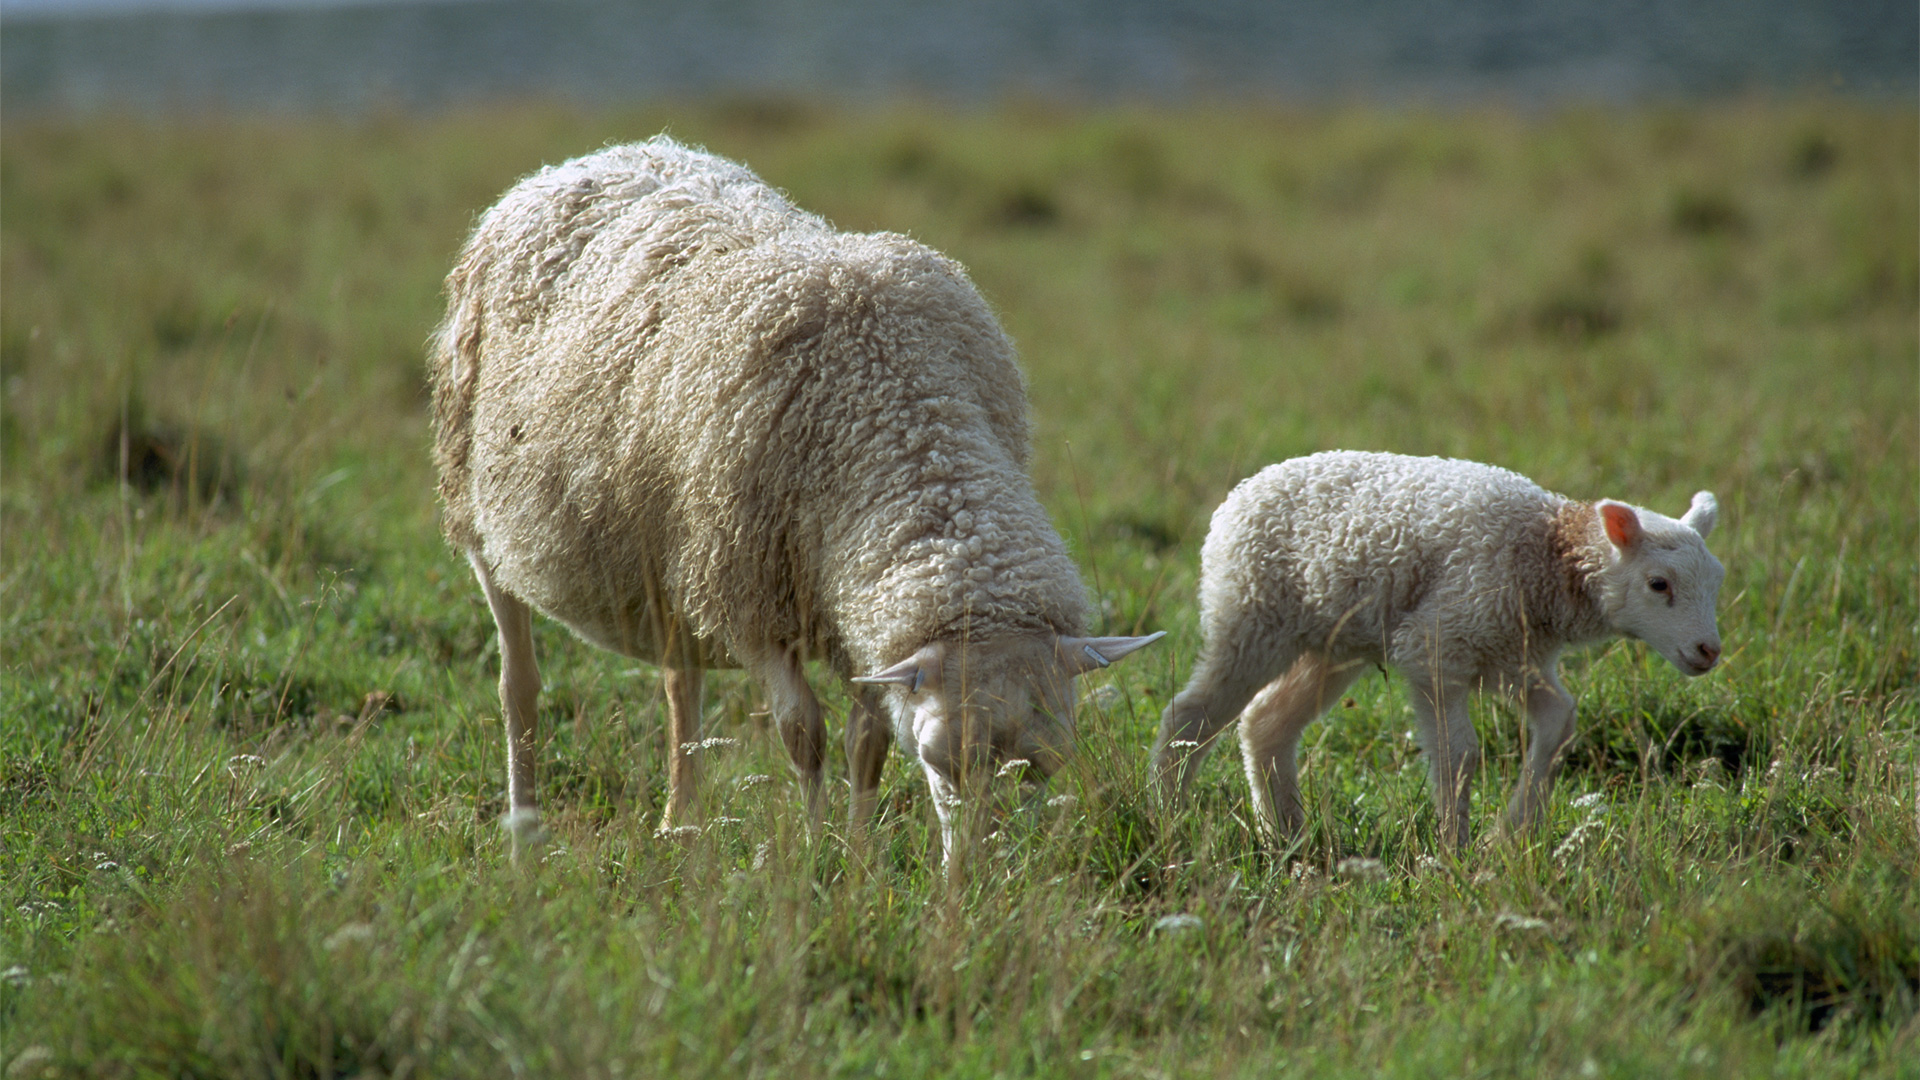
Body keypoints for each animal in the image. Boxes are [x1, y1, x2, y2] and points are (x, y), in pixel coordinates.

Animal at [433, 134, 1152, 860]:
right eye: (937, 759)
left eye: (1047, 763)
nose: (976, 873)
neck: (898, 410)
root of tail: (596, 157)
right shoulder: (750, 596)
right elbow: (803, 733)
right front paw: (813, 849)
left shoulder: (855, 607)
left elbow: (867, 741)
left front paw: (859, 855)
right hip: (478, 513)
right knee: (519, 685)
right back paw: (525, 830)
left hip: (669, 549)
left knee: (679, 681)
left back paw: (681, 821)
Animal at [1152, 449, 1728, 845]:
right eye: (1658, 584)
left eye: (1717, 581)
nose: (1708, 651)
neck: (1545, 556)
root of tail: (1240, 494)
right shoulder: (1438, 645)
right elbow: (1461, 753)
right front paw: (1455, 848)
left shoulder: (1513, 653)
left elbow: (1560, 721)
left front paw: (1511, 834)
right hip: (1251, 615)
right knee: (1191, 714)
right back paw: (1169, 814)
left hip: (1332, 643)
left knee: (1265, 722)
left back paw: (1286, 833)